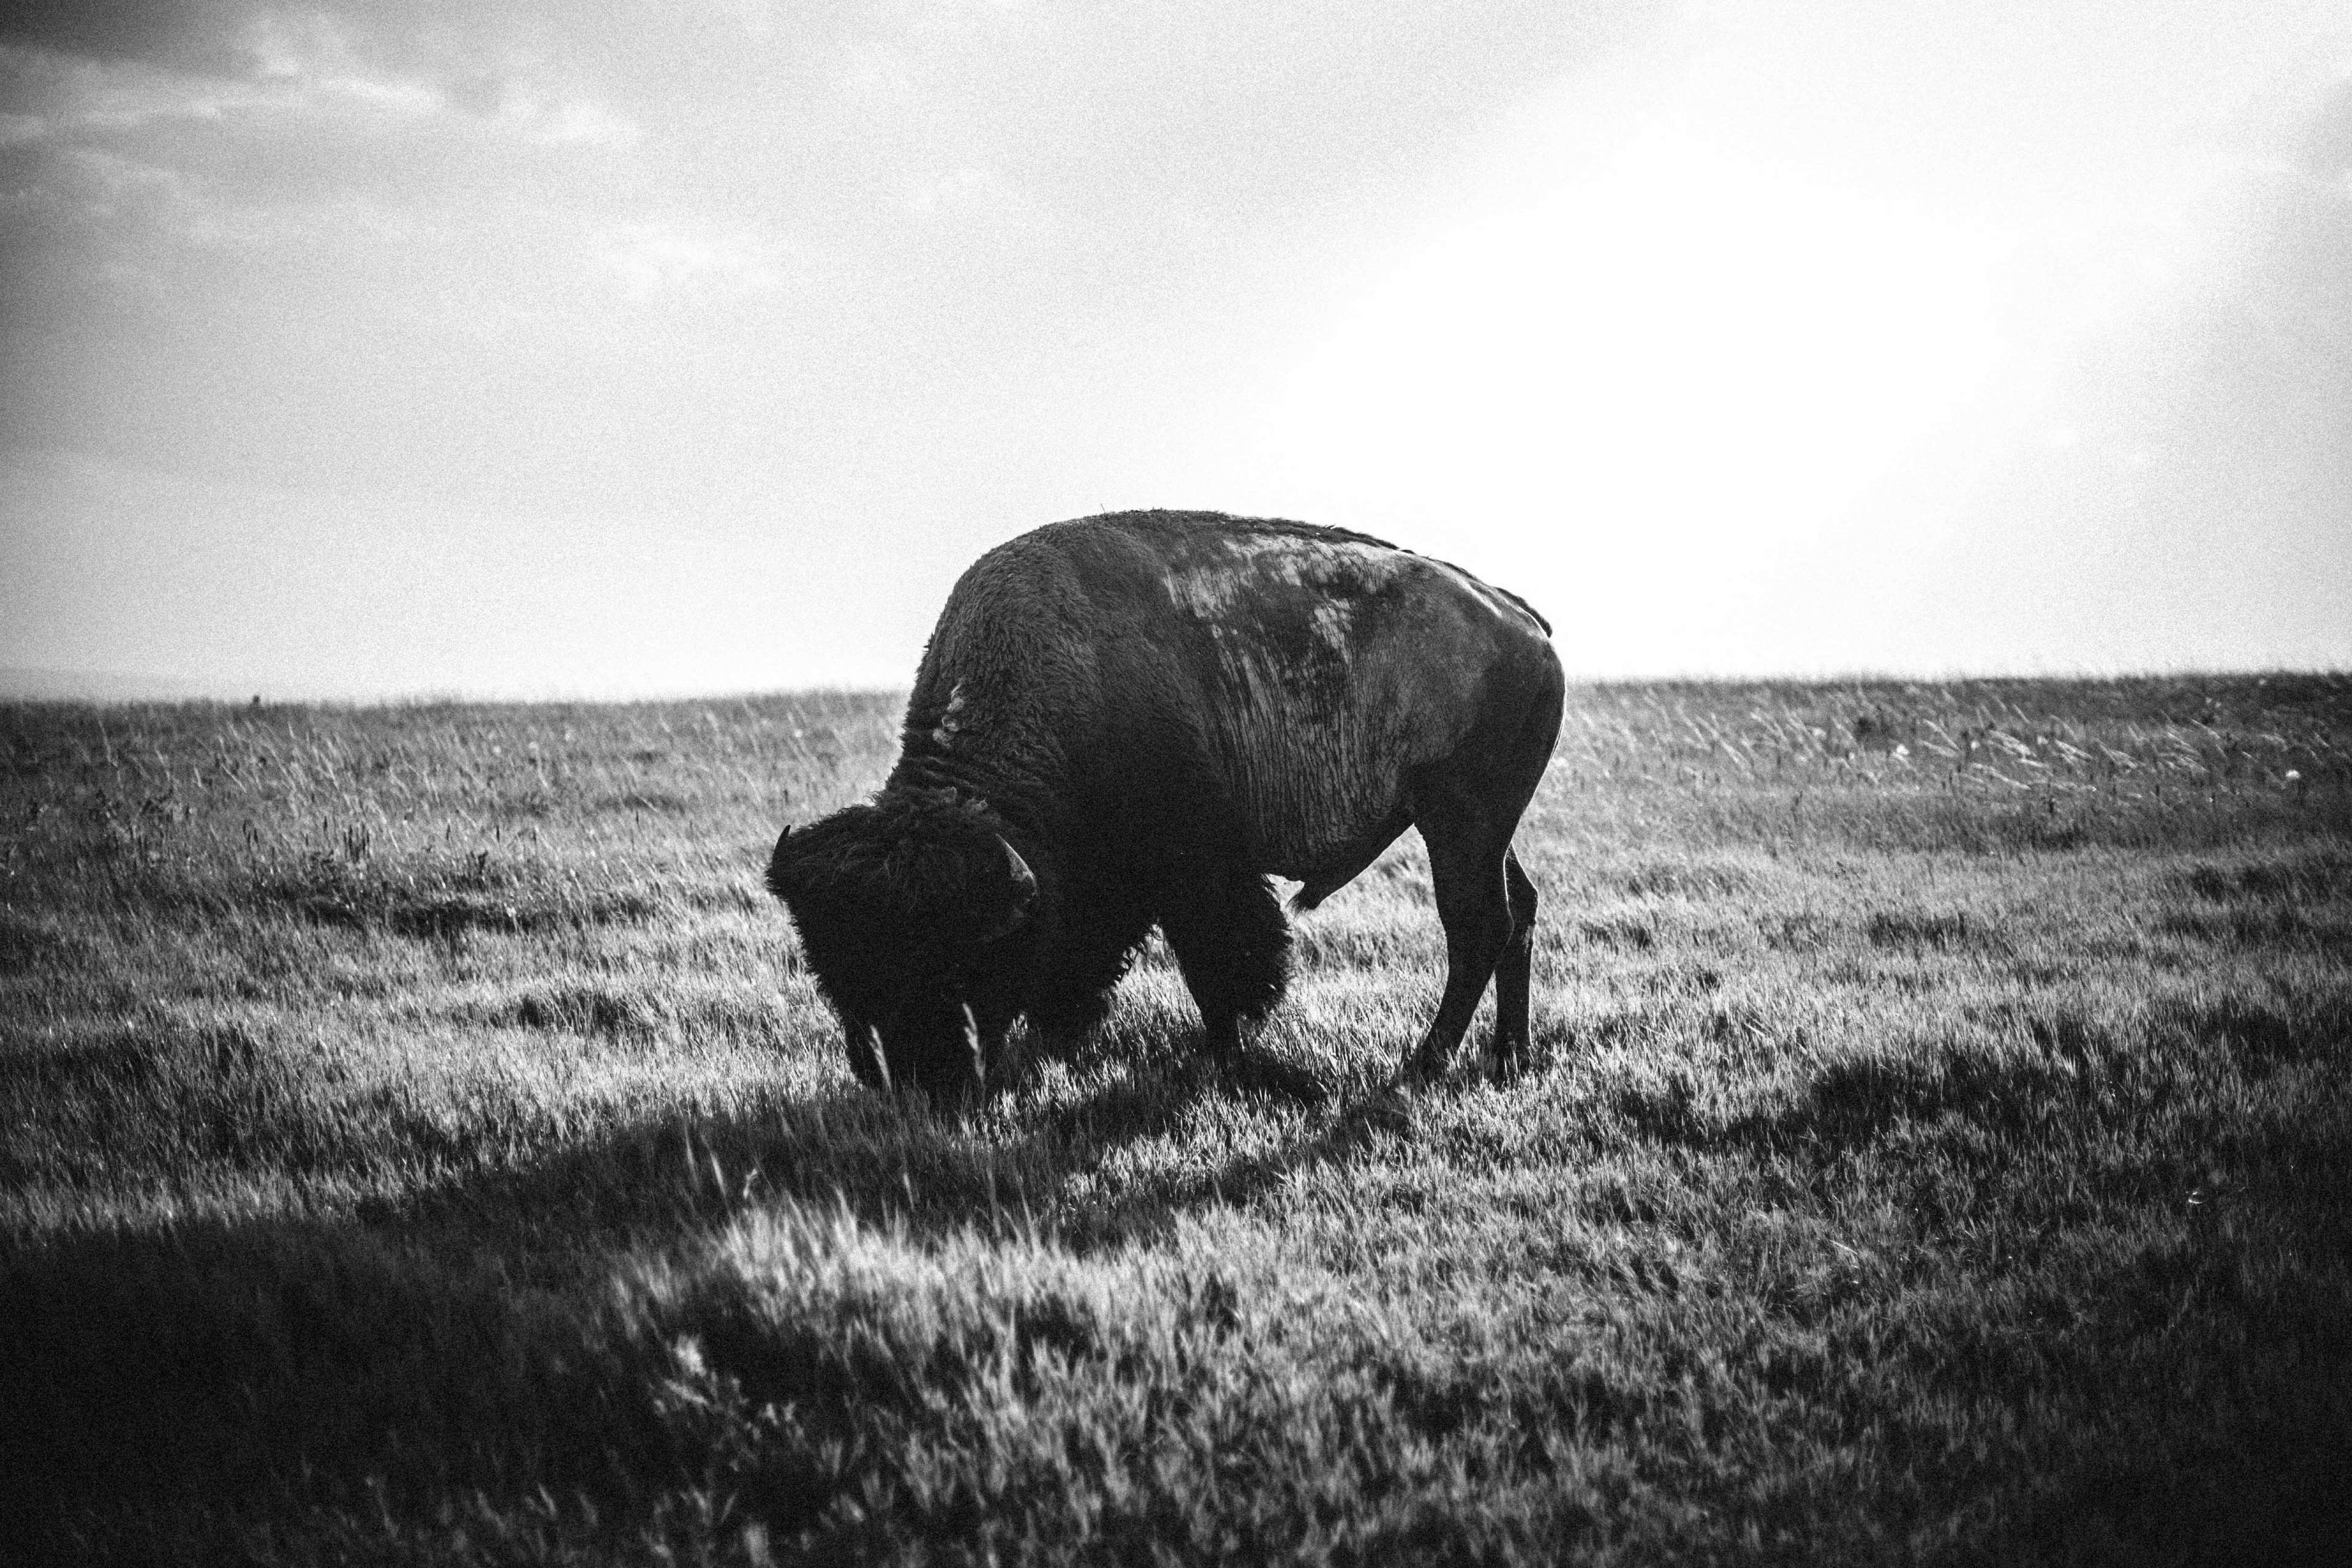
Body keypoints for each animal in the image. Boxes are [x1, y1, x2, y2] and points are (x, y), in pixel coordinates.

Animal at [766, 510, 1564, 1098]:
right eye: (834, 974)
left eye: (957, 957)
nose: (913, 1081)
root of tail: (1523, 622)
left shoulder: (1198, 875)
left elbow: (1222, 969)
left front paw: (1230, 1057)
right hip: (1482, 829)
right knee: (1518, 909)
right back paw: (1508, 1057)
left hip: (1457, 821)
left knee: (1477, 926)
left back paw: (1422, 1065)